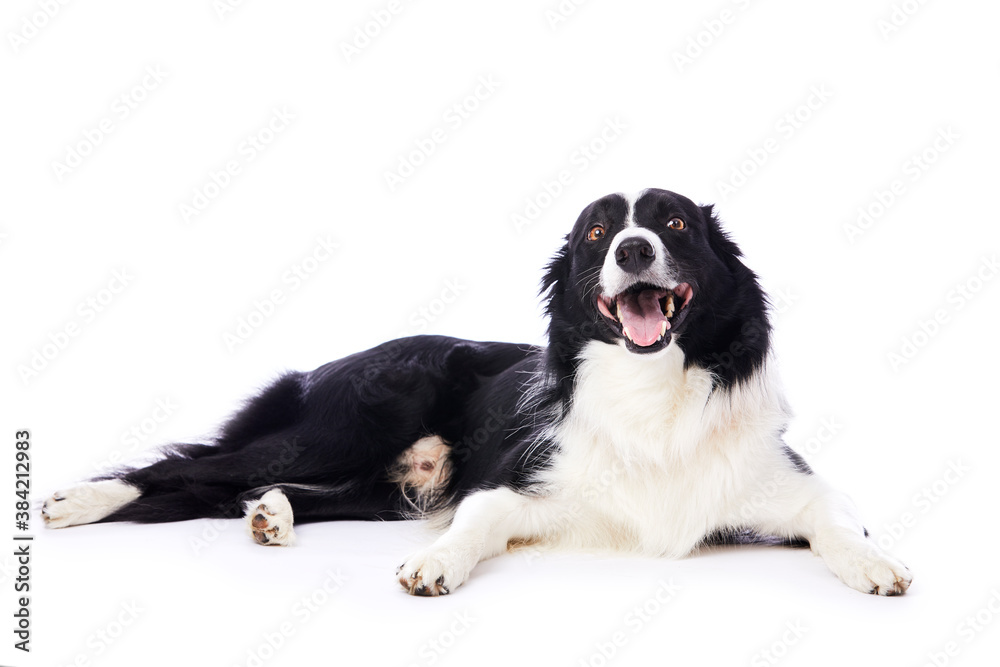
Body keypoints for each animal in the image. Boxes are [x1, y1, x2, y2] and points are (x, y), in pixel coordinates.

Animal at [43, 190, 912, 596]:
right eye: (597, 233)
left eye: (672, 223)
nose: (633, 249)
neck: (650, 392)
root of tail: (323, 365)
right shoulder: (519, 486)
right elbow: (479, 519)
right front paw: (435, 563)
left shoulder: (794, 487)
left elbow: (840, 522)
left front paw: (876, 563)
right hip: (346, 428)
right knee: (184, 467)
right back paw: (75, 500)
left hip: (385, 484)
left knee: (255, 490)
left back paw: (271, 514)